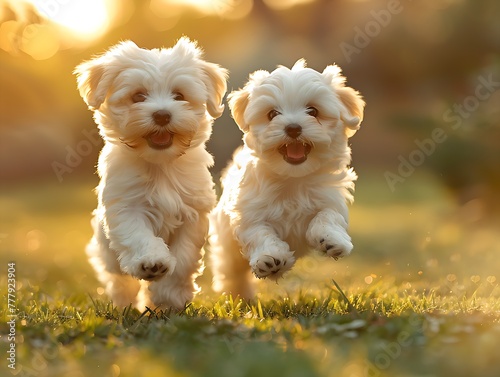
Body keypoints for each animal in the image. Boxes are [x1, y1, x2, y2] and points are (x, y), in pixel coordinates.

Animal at [74, 37, 229, 308]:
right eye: (138, 96)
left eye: (179, 95)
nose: (162, 114)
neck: (160, 164)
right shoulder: (126, 205)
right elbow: (138, 235)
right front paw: (152, 262)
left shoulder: (193, 213)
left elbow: (184, 258)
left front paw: (169, 296)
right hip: (106, 253)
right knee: (119, 279)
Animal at [210, 60, 364, 298]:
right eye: (272, 114)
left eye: (313, 111)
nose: (293, 127)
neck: (293, 179)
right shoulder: (249, 212)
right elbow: (259, 233)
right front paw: (270, 259)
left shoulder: (330, 198)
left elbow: (328, 215)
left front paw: (331, 238)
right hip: (226, 244)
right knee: (231, 271)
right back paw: (239, 295)